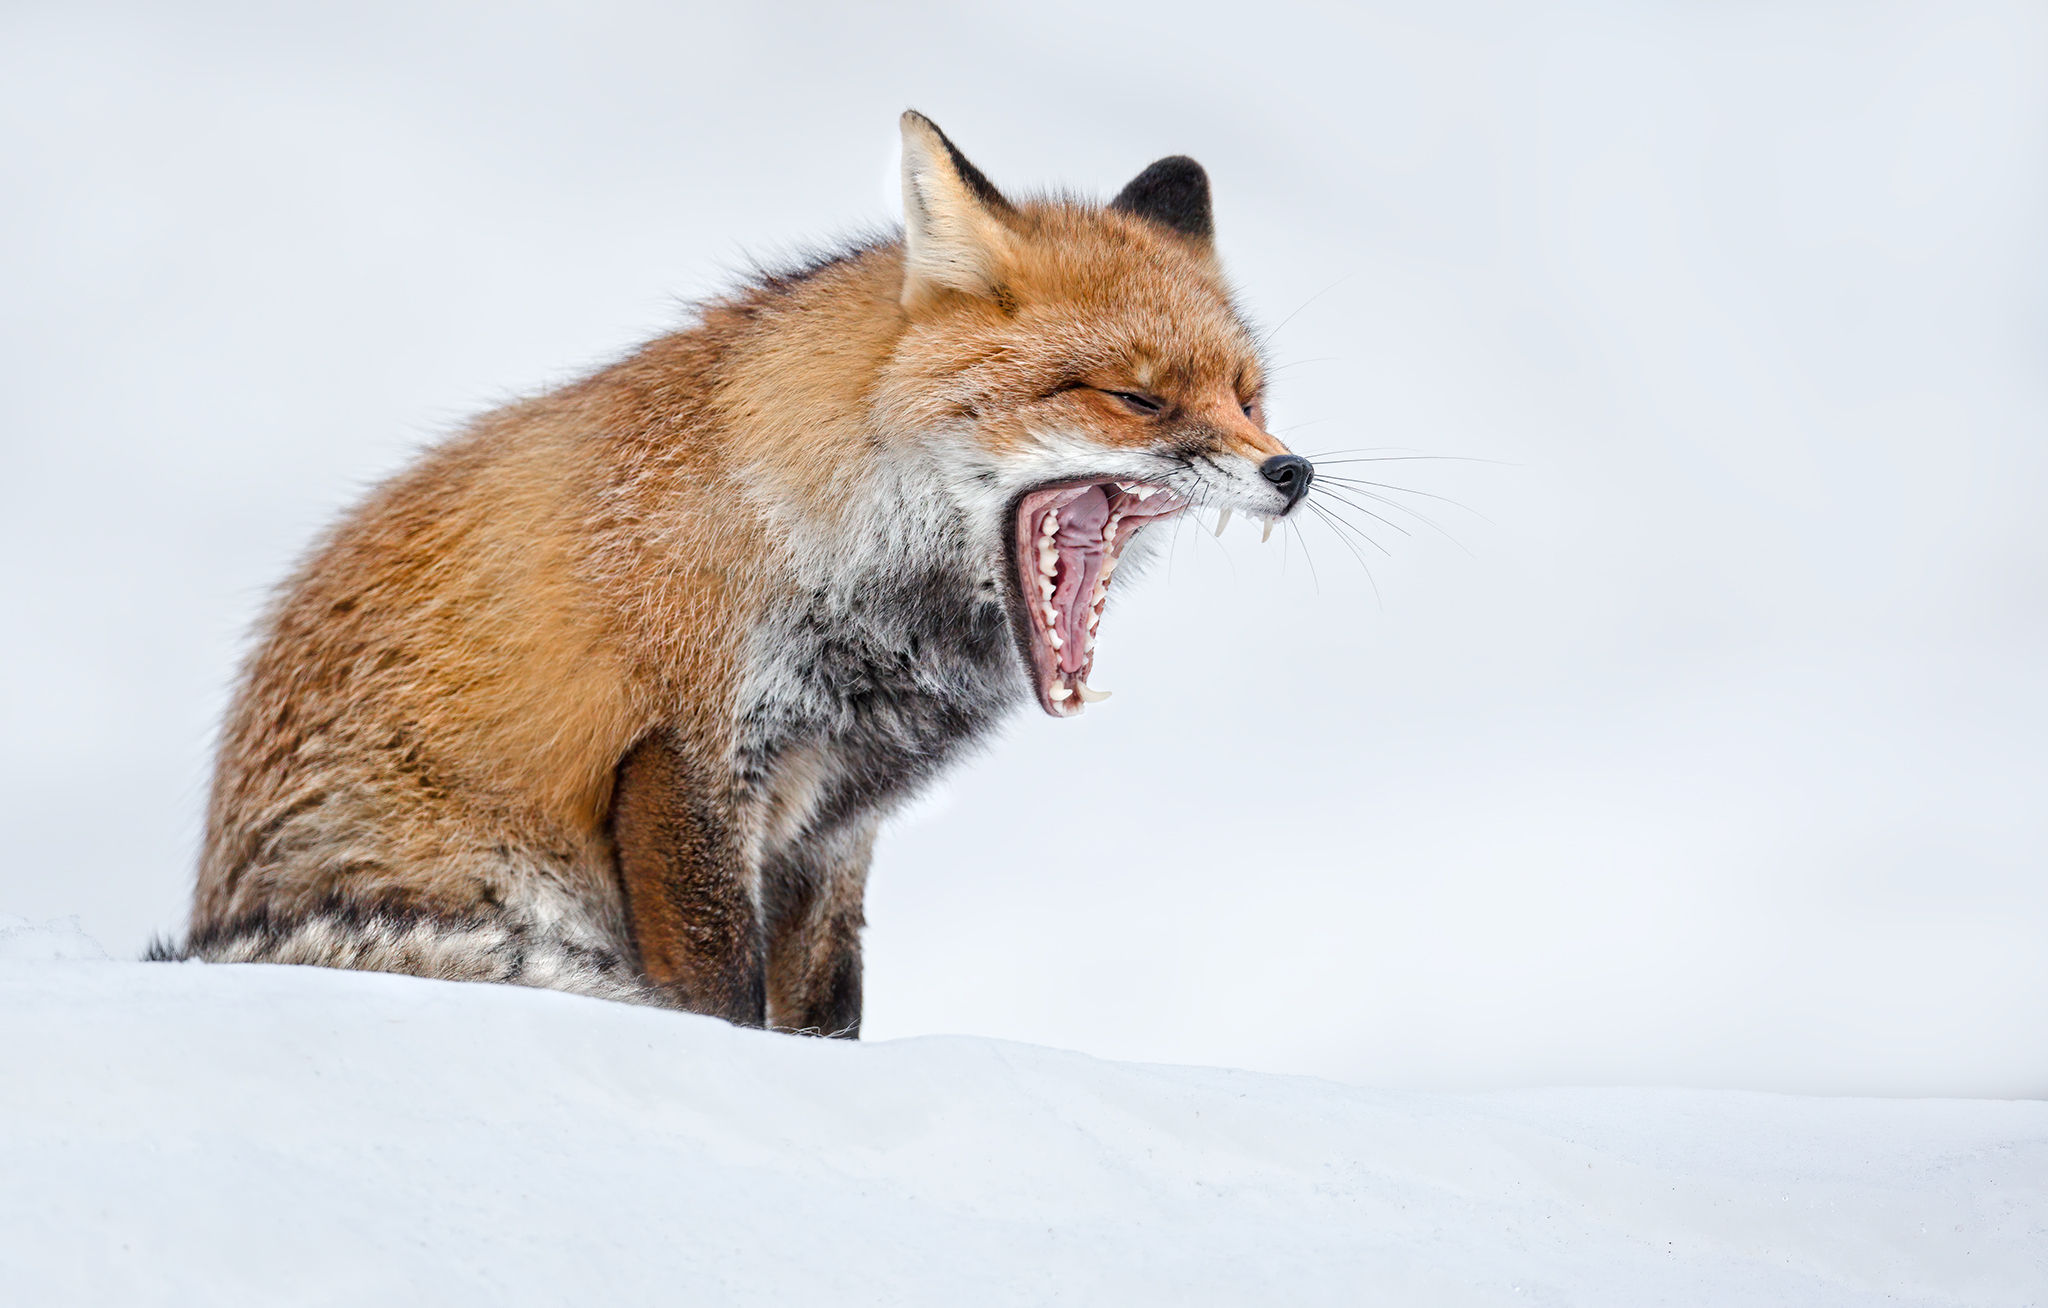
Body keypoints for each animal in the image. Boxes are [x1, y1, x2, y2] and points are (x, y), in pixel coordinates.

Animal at [152, 112, 1316, 1037]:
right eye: (1137, 398)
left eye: (1249, 399)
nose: (1293, 472)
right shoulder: (687, 757)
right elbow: (721, 1000)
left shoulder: (836, 818)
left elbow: (826, 1004)